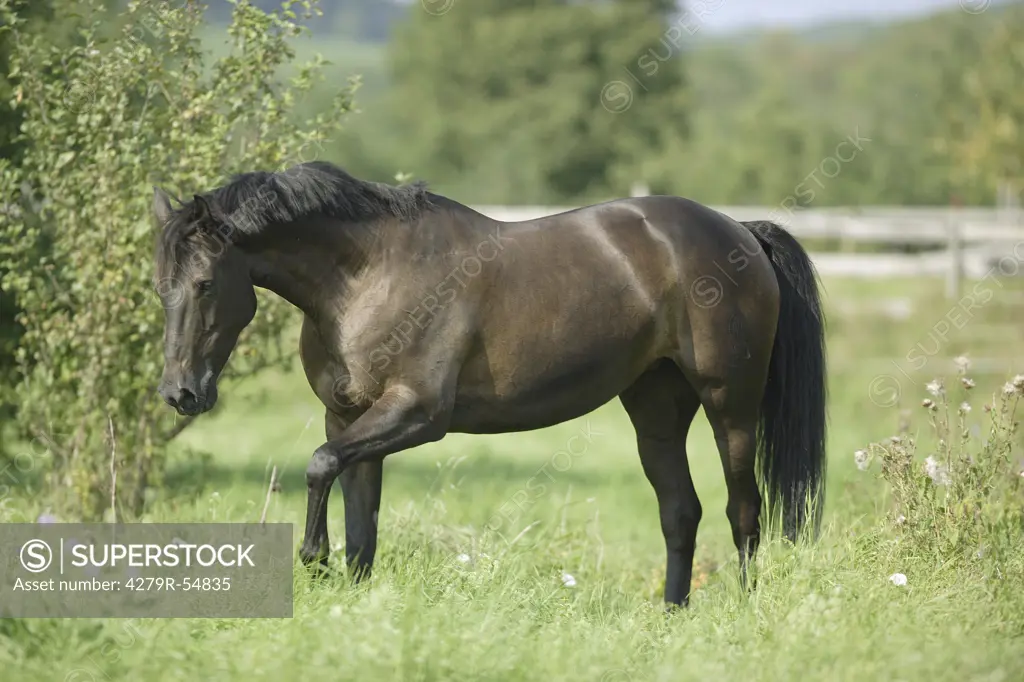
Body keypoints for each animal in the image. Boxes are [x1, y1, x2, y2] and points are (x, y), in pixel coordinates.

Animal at [151, 160, 823, 606]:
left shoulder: (416, 415)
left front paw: (313, 563)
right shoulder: (349, 419)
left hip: (730, 406)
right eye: (161, 287)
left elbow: (318, 467)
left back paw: (741, 610)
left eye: (205, 283)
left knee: (744, 510)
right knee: (681, 512)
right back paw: (671, 613)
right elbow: (360, 526)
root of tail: (740, 231)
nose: (181, 393)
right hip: (655, 410)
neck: (368, 276)